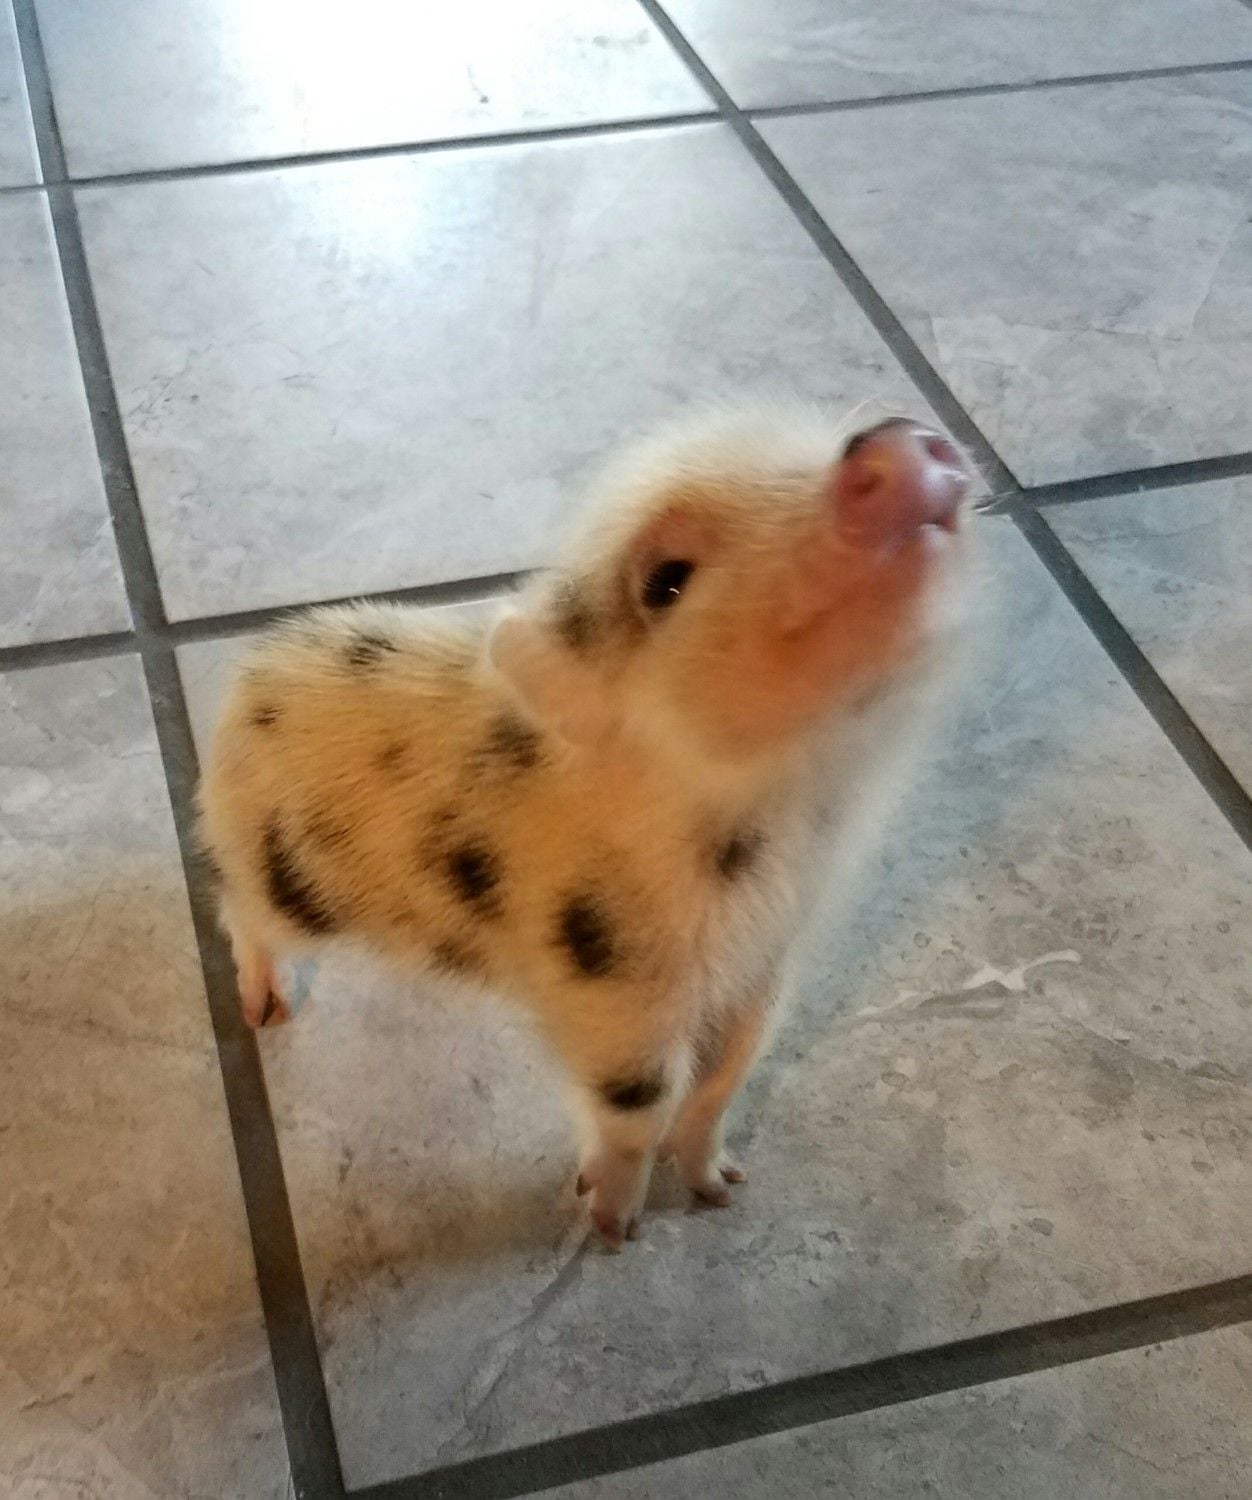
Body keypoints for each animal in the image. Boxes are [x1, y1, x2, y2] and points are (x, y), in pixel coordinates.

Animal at [198, 402, 973, 1247]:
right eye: (666, 582)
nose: (894, 440)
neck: (791, 822)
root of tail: (247, 678)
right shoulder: (609, 979)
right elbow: (641, 1102)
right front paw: (614, 1227)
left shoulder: (765, 965)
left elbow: (725, 1078)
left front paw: (722, 1190)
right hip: (280, 873)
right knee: (235, 911)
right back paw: (266, 1010)